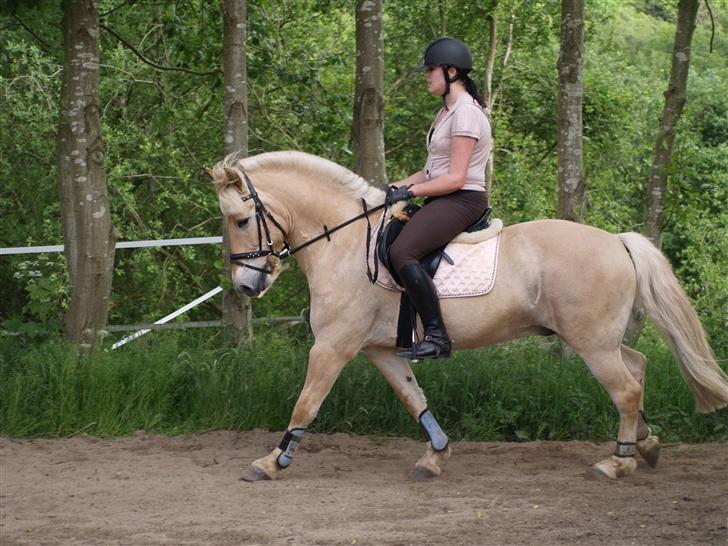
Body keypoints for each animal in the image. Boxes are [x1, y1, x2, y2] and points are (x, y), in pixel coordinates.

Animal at [209, 150, 728, 480]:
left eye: (240, 220)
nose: (245, 286)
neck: (347, 243)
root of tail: (618, 240)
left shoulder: (333, 347)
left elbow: (306, 403)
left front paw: (271, 462)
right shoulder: (381, 351)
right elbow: (414, 400)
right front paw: (435, 457)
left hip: (592, 343)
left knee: (625, 389)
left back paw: (617, 462)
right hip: (601, 338)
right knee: (637, 369)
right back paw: (646, 446)